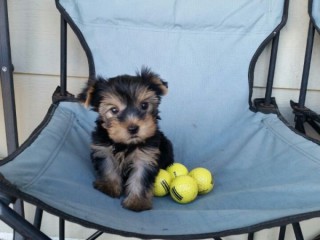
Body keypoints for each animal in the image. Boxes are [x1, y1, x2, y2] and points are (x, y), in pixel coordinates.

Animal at [80, 68, 175, 212]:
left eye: (144, 105)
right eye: (114, 110)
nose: (133, 128)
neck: (126, 144)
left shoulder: (146, 156)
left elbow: (140, 177)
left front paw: (137, 202)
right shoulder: (103, 149)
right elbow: (108, 167)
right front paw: (109, 186)